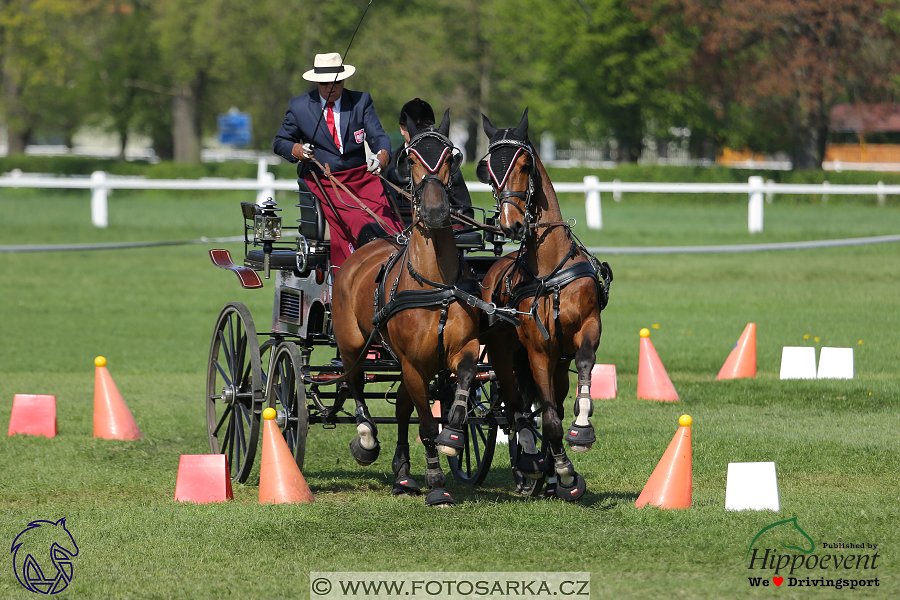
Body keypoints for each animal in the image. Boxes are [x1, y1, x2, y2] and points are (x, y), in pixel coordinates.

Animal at [332, 109, 488, 506]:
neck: (434, 284)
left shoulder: (459, 350)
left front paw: (454, 435)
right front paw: (436, 483)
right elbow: (426, 424)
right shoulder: (415, 364)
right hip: (353, 343)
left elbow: (465, 379)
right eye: (411, 159)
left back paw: (403, 473)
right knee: (355, 383)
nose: (434, 211)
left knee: (402, 404)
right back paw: (366, 439)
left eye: (452, 157)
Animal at [478, 109, 612, 502]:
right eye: (488, 168)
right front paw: (565, 472)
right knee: (516, 408)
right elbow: (548, 418)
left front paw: (582, 428)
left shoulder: (587, 329)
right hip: (504, 354)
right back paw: (532, 464)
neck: (550, 268)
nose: (511, 224)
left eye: (524, 164)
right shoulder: (537, 349)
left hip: (554, 364)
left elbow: (584, 370)